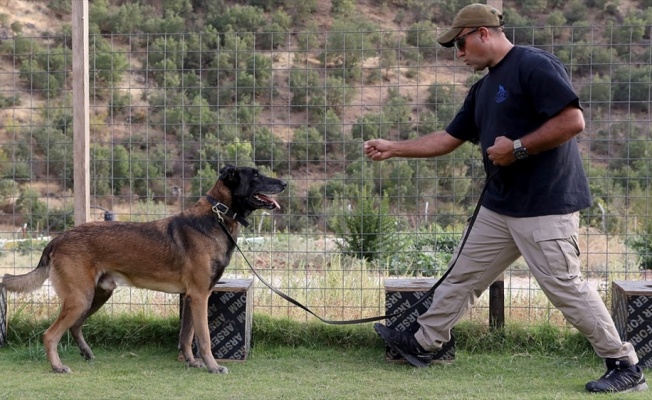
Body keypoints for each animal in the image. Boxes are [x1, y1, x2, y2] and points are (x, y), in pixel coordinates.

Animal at [1, 164, 286, 374]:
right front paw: (213, 366)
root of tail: (57, 239)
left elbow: (187, 336)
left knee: (74, 327)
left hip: (95, 296)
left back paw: (86, 353)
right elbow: (204, 338)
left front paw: (192, 362)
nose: (285, 183)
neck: (216, 217)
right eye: (256, 175)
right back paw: (58, 366)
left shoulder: (190, 297)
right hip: (80, 298)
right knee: (50, 334)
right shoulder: (200, 296)